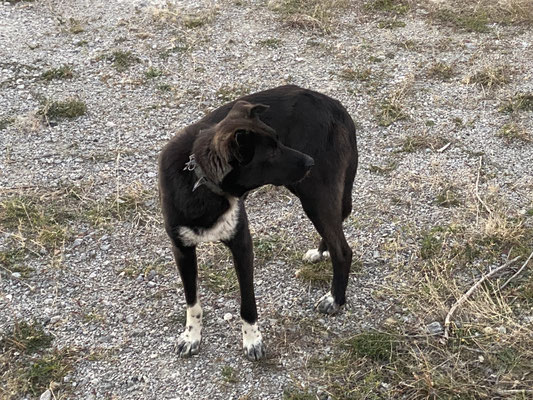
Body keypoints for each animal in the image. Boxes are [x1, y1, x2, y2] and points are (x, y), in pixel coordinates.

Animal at [158, 83, 358, 360]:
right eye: (271, 152)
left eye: (279, 140)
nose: (310, 161)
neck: (201, 183)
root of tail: (334, 105)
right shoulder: (182, 250)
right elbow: (192, 301)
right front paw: (191, 337)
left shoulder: (242, 245)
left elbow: (248, 304)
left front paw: (252, 341)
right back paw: (320, 252)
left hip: (314, 193)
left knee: (343, 249)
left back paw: (335, 299)